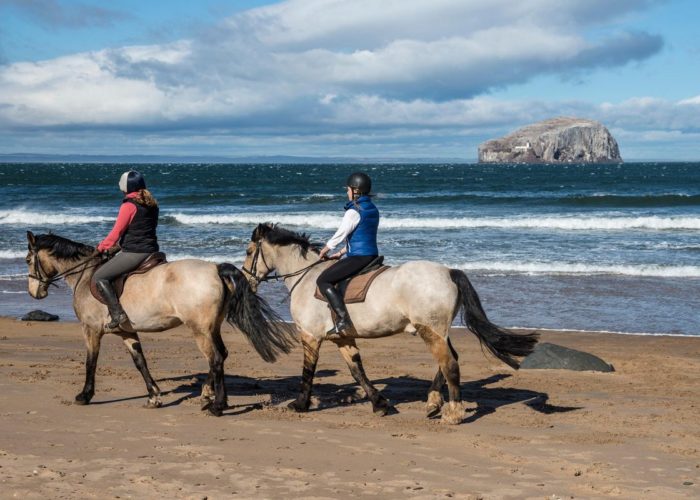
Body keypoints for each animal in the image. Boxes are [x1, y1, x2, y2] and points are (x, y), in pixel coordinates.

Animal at [25, 232, 296, 416]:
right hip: (212, 327)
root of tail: (215, 268)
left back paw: (217, 406)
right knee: (221, 355)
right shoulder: (126, 331)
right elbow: (140, 362)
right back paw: (208, 396)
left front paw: (85, 395)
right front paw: (154, 397)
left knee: (216, 359)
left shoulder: (91, 330)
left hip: (199, 330)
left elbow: (90, 362)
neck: (86, 275)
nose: (34, 293)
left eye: (28, 259)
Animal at [242, 225, 540, 424]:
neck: (305, 277)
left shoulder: (310, 336)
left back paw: (453, 412)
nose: (247, 280)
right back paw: (433, 403)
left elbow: (308, 371)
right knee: (447, 360)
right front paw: (380, 404)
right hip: (436, 330)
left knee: (449, 363)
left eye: (248, 251)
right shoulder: (343, 338)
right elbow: (357, 372)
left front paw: (300, 404)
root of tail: (448, 272)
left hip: (430, 330)